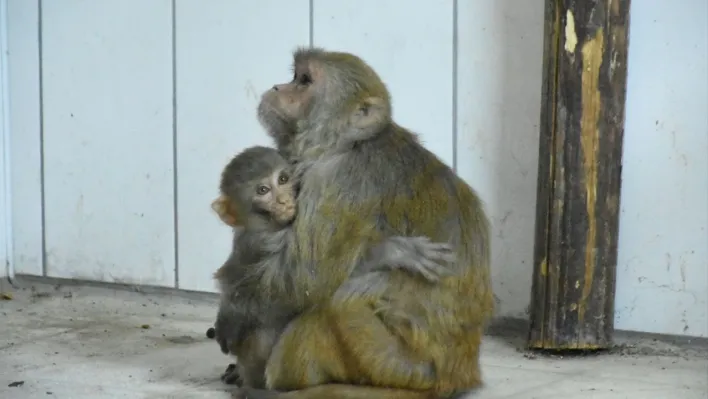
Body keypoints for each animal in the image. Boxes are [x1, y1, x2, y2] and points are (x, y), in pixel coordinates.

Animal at [209, 146, 454, 388]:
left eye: (283, 179)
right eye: (263, 190)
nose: (283, 201)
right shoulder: (264, 241)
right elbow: (298, 291)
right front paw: (390, 252)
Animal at [235, 49, 496, 399]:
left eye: (304, 81)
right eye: (294, 76)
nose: (278, 87)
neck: (347, 144)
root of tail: (456, 376)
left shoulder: (336, 181)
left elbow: (303, 280)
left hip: (394, 365)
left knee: (338, 303)